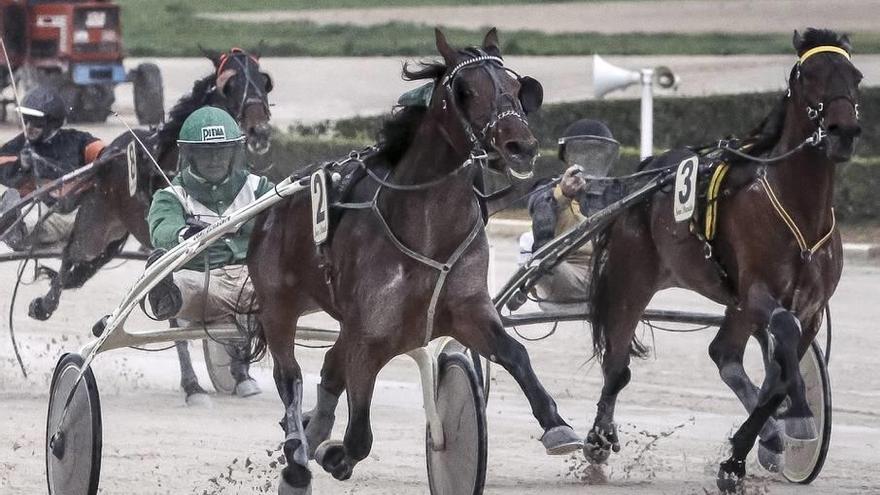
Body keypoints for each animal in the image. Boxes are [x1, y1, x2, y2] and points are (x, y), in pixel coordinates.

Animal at [246, 29, 584, 494]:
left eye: (518, 88)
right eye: (465, 91)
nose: (521, 147)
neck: (427, 230)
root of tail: (274, 201)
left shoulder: (468, 311)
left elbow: (515, 354)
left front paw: (557, 426)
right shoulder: (370, 335)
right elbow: (358, 435)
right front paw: (332, 454)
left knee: (329, 367)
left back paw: (310, 435)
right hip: (278, 304)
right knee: (289, 377)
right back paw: (299, 456)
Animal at [580, 29, 864, 490]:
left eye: (856, 76)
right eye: (810, 76)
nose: (844, 131)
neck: (801, 210)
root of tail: (647, 171)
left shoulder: (810, 308)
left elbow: (779, 376)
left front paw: (747, 454)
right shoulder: (760, 291)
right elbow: (783, 339)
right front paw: (798, 416)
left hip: (735, 303)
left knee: (724, 354)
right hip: (633, 277)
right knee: (617, 364)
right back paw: (598, 440)